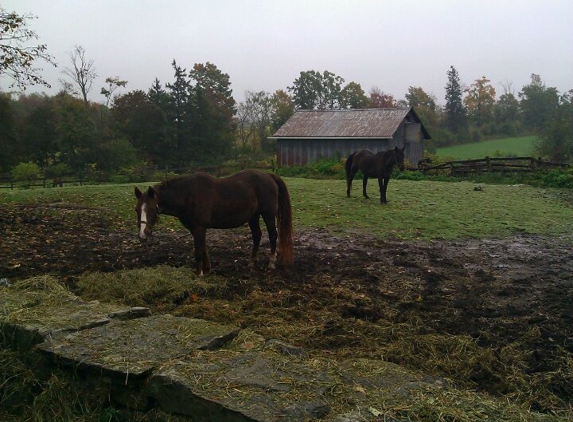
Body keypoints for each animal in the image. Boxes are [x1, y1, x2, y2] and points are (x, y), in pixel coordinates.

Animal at [134, 170, 292, 276]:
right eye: (137, 209)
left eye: (152, 209)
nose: (143, 234)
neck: (188, 195)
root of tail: (269, 176)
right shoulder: (196, 229)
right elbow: (204, 249)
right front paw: (206, 269)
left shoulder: (199, 228)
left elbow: (199, 251)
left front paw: (199, 274)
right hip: (253, 216)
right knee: (257, 236)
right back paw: (252, 262)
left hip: (268, 215)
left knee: (272, 235)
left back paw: (271, 262)